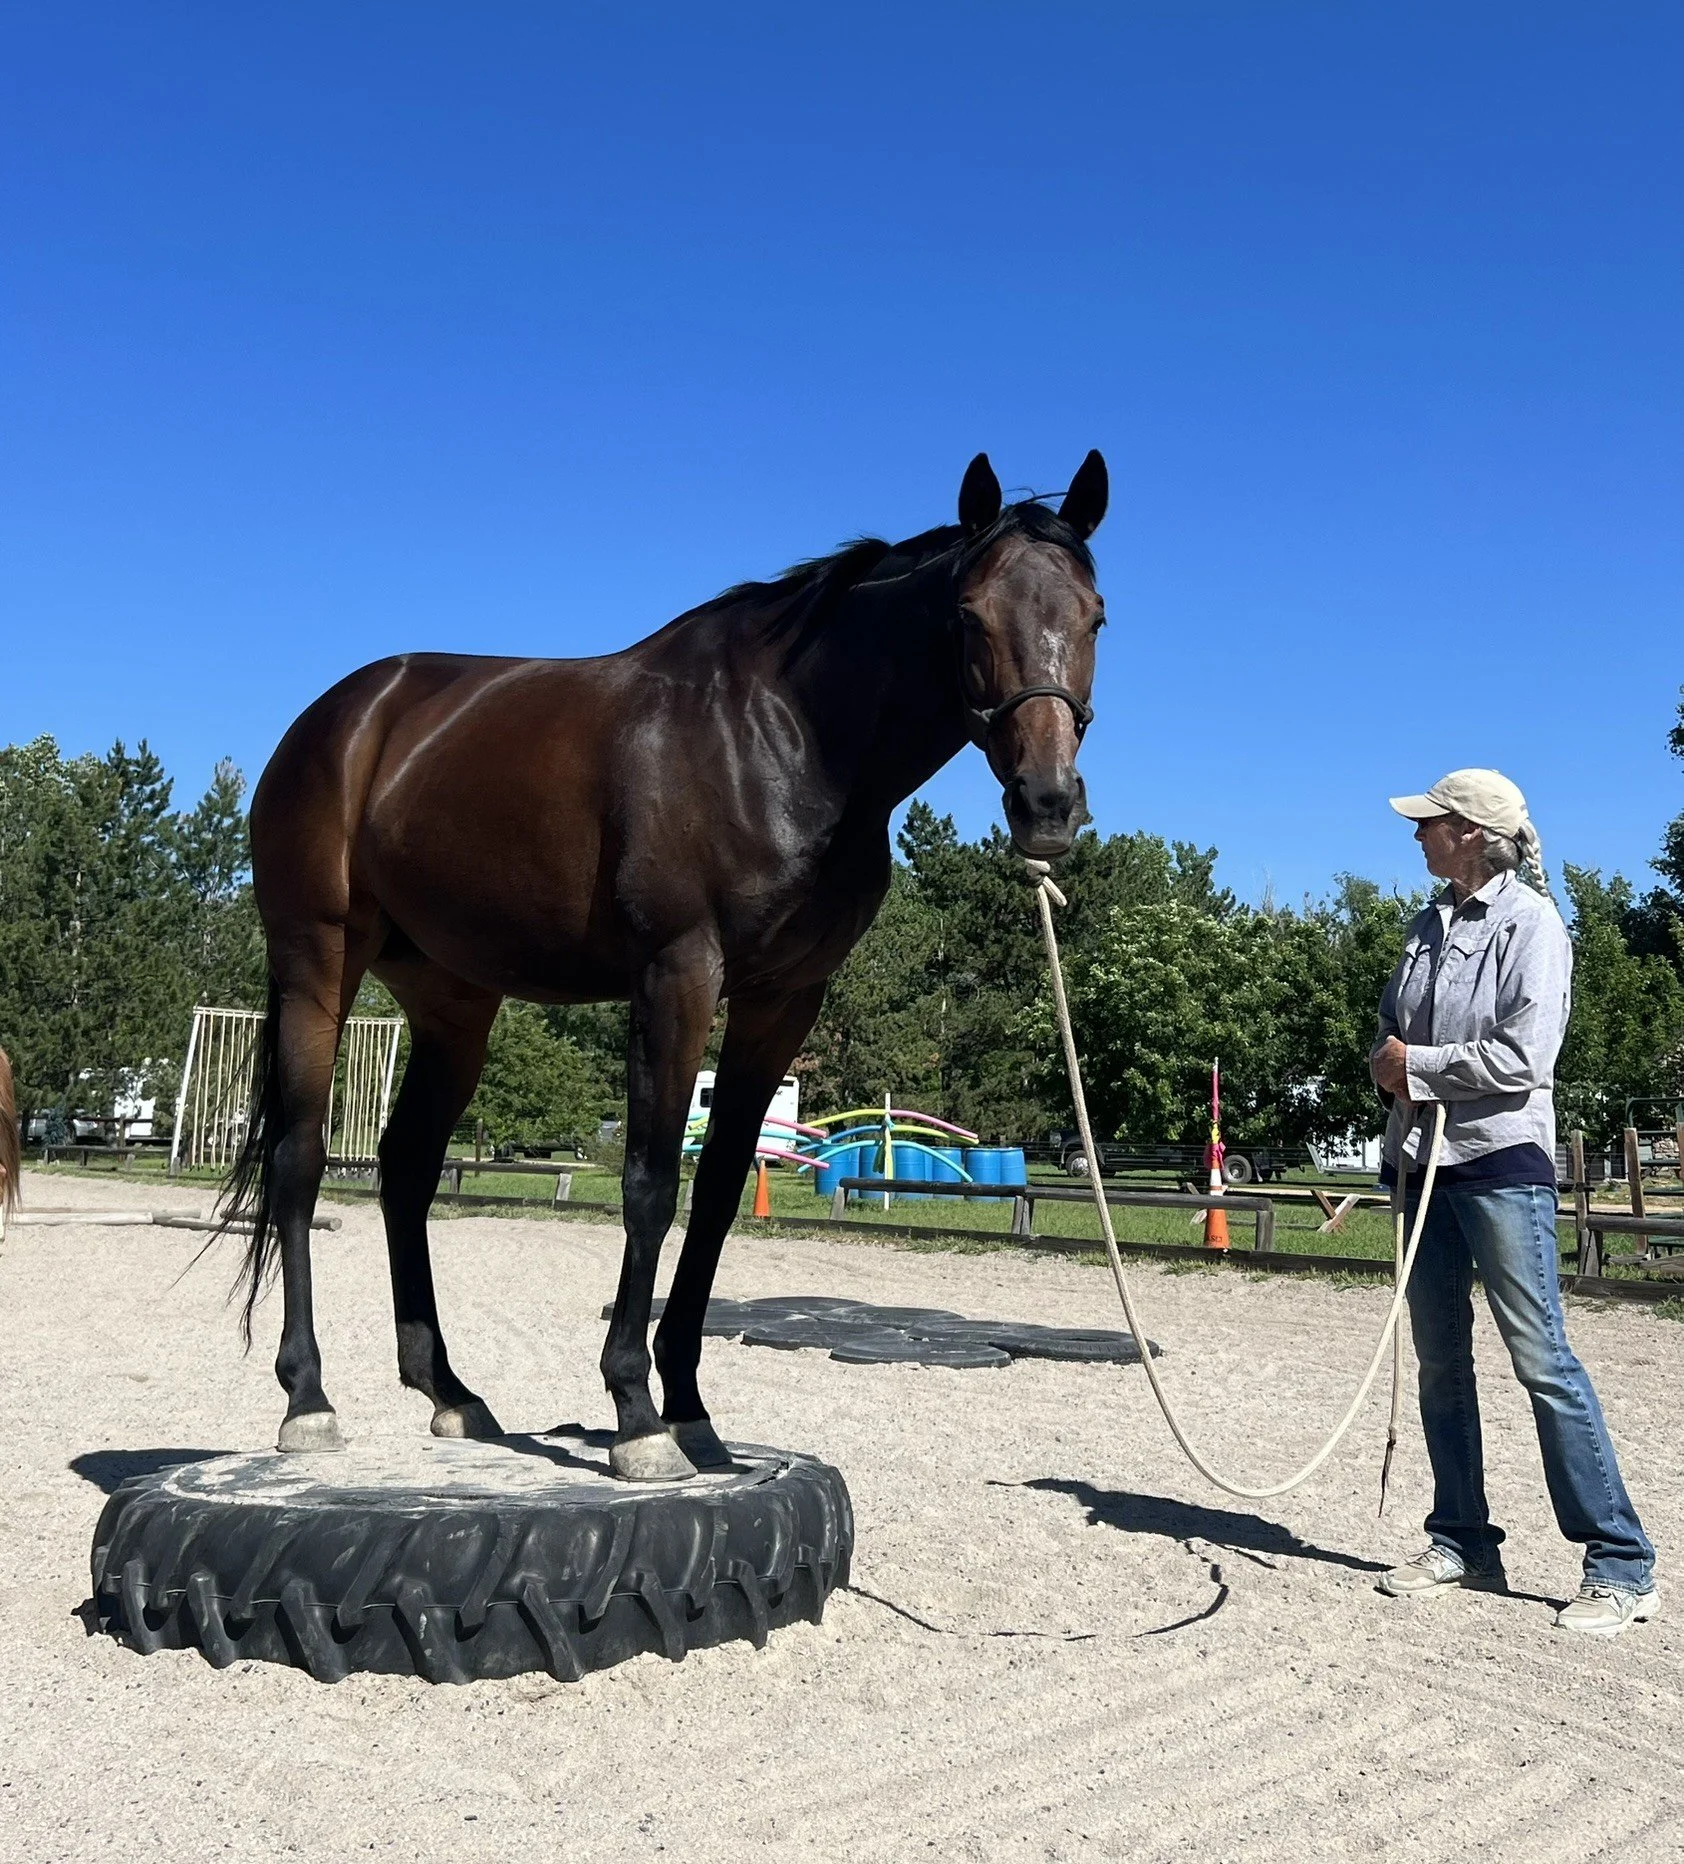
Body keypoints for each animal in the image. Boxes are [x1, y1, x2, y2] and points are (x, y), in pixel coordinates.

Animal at [225, 450, 1109, 1478]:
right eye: (969, 614)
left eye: (1094, 615)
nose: (1048, 804)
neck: (787, 736)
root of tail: (343, 716)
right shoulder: (676, 978)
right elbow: (651, 1186)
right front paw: (637, 1416)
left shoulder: (782, 1001)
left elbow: (720, 1193)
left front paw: (690, 1408)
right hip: (318, 967)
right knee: (299, 1161)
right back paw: (307, 1399)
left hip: (454, 1003)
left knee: (406, 1168)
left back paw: (451, 1393)